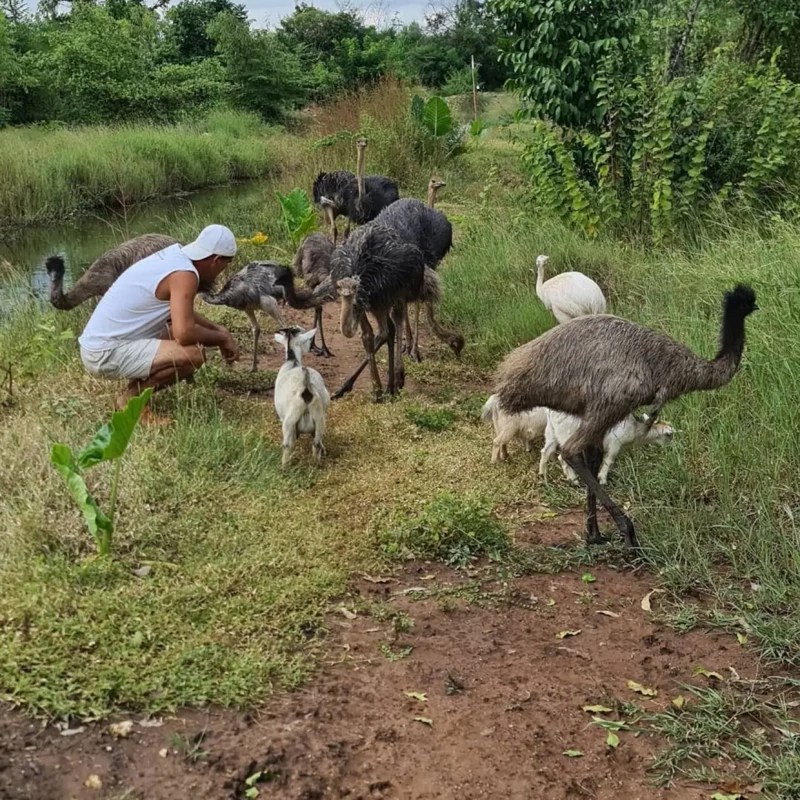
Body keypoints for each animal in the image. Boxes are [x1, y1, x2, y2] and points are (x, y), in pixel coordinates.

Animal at [272, 324, 328, 466]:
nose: (311, 347)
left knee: (287, 445)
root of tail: (305, 385)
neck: (292, 362)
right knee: (317, 443)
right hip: (319, 417)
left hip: (290, 419)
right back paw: (316, 463)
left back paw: (284, 466)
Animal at [536, 416, 676, 484]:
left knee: (545, 451)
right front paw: (602, 479)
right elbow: (609, 460)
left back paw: (543, 474)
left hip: (551, 432)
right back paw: (573, 480)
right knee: (562, 456)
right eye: (669, 435)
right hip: (566, 434)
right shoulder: (615, 443)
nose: (671, 448)